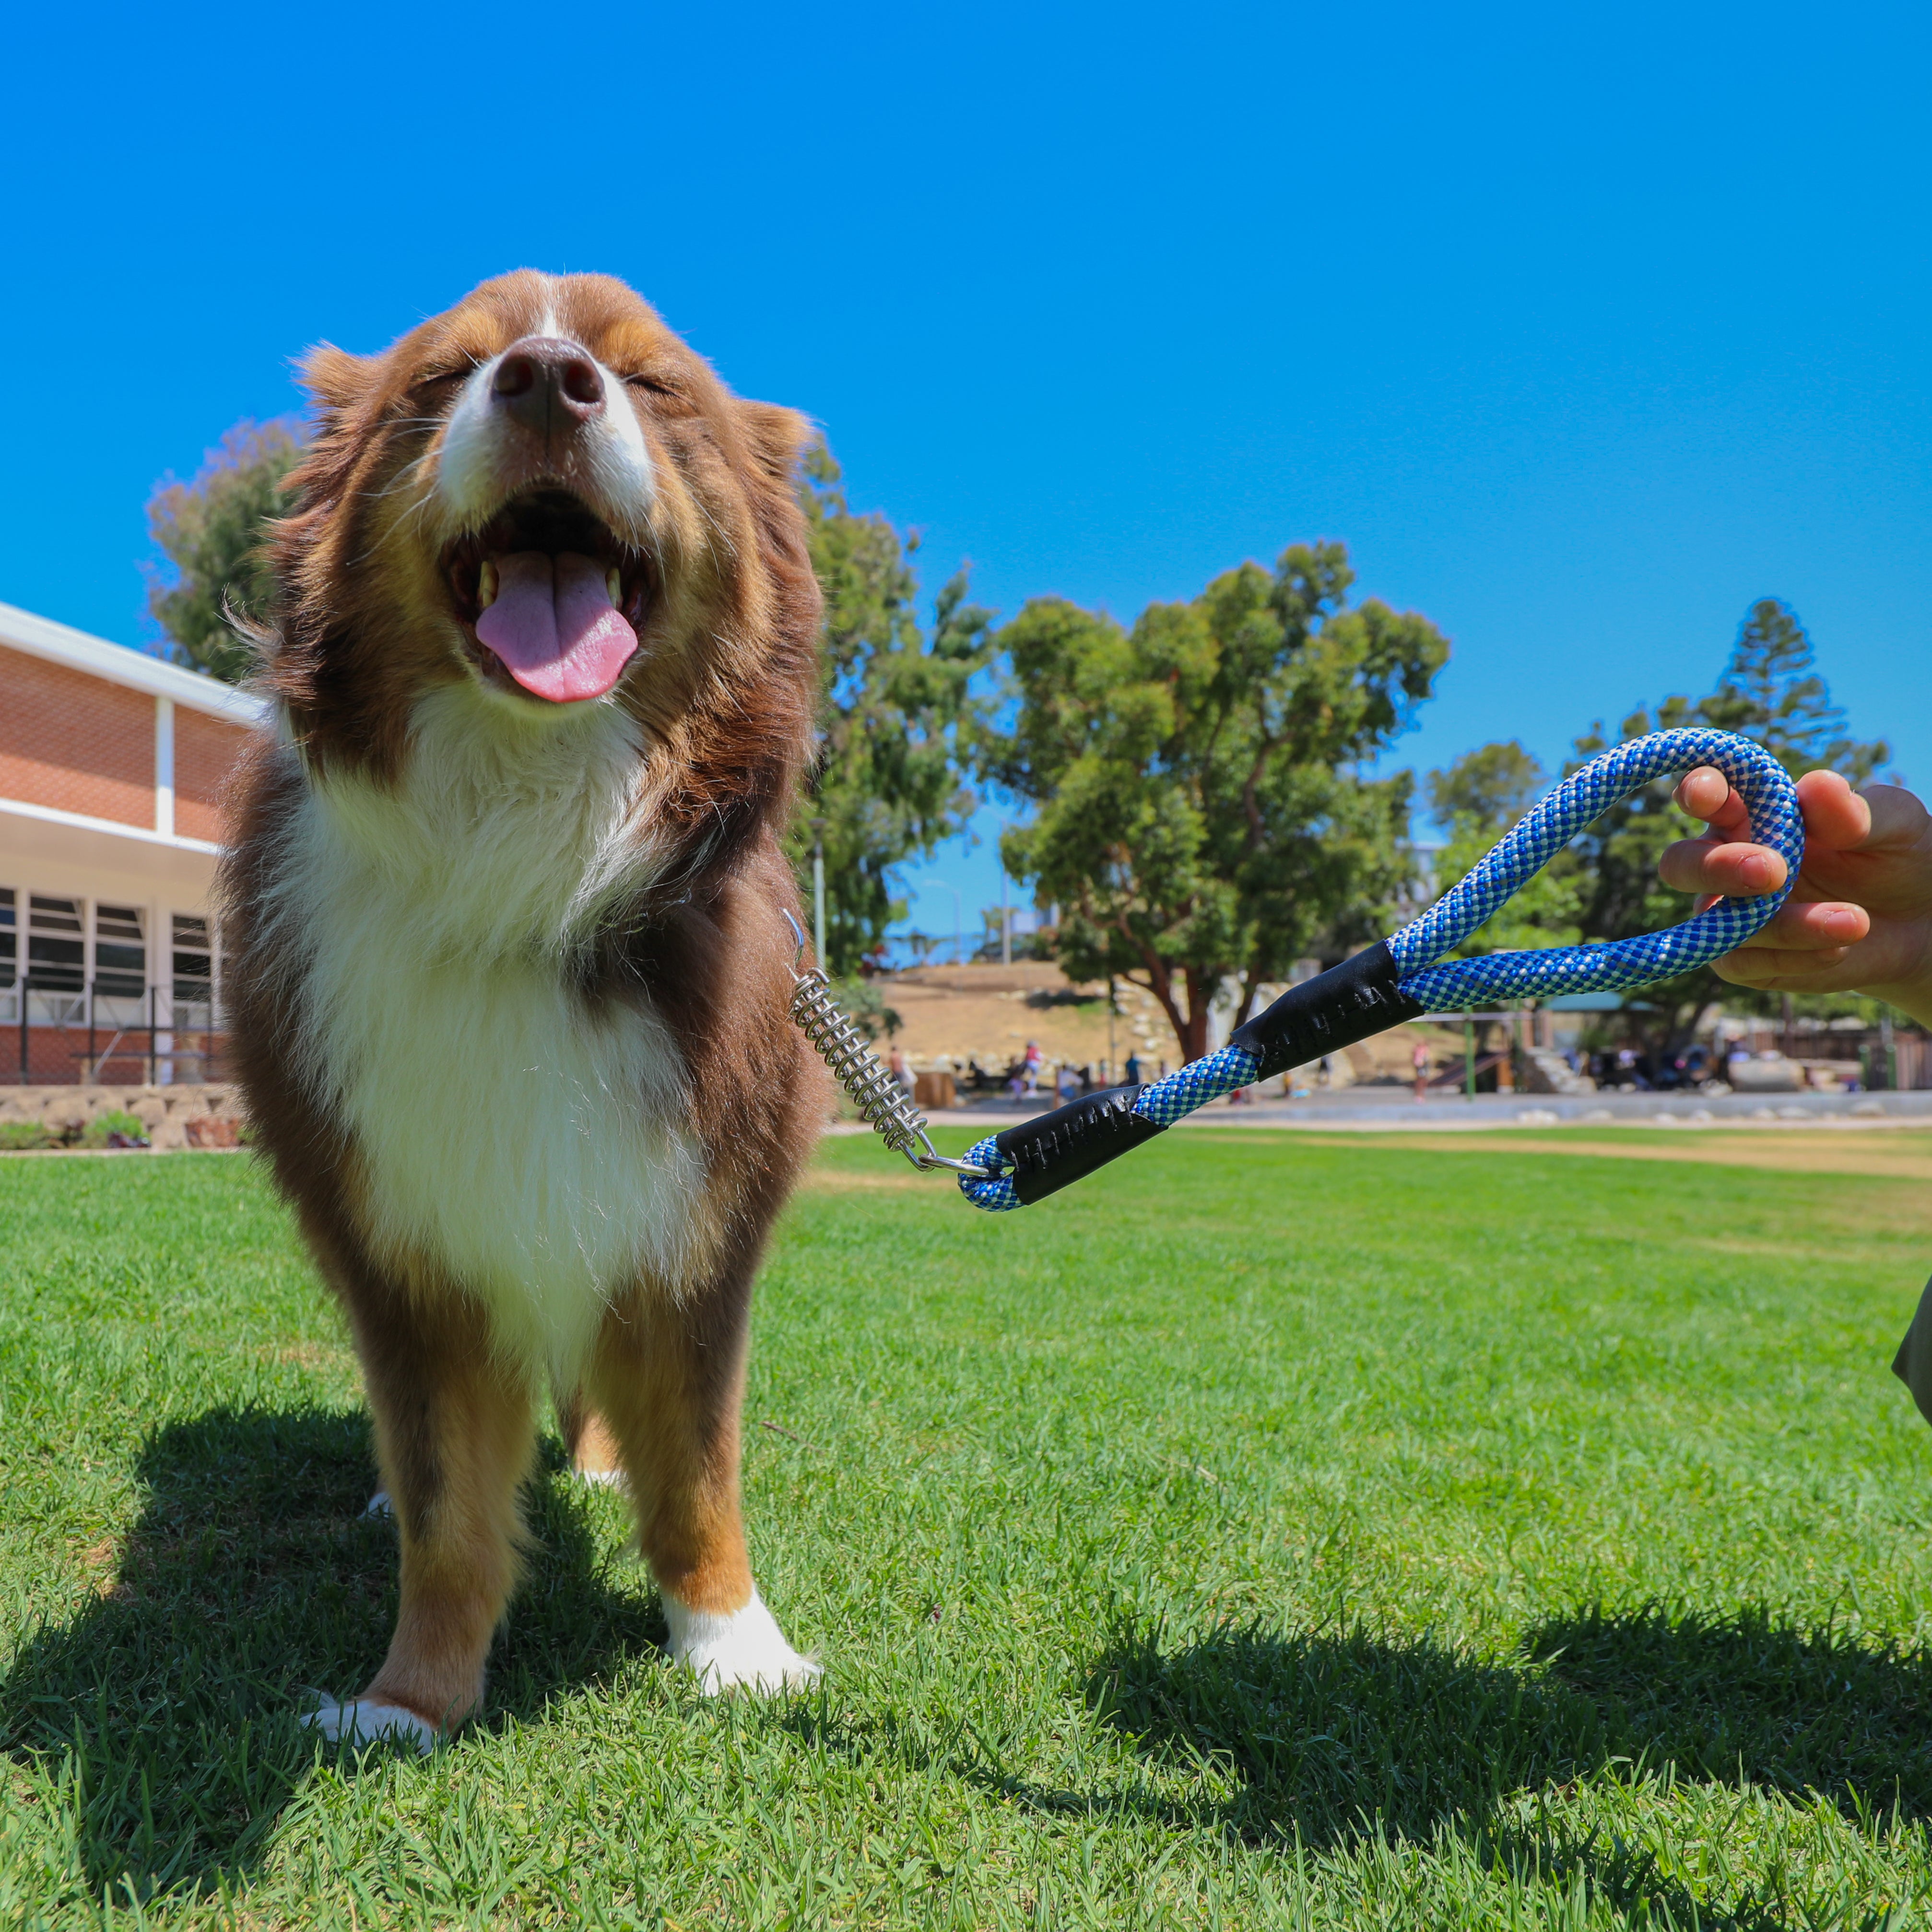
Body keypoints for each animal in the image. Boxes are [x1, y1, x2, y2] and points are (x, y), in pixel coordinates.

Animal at [224, 264, 831, 1746]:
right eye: (444, 376)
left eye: (654, 382)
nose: (549, 380)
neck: (530, 851)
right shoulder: (397, 1232)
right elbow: (447, 1497)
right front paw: (411, 1699)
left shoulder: (696, 1221)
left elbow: (699, 1467)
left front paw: (734, 1646)